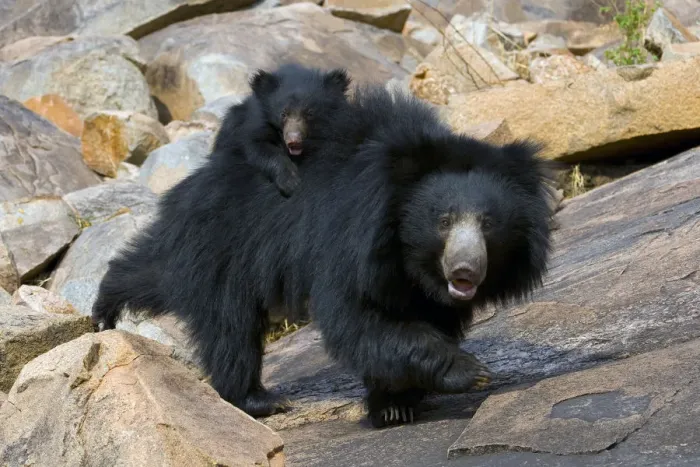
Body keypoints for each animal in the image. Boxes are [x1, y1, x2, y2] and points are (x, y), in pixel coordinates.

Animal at [91, 81, 555, 426]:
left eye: (489, 224)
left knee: (159, 276)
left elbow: (417, 317)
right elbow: (358, 319)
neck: (407, 255)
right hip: (224, 245)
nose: (465, 270)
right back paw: (257, 399)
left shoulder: (413, 281)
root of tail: (191, 185)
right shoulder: (348, 242)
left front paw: (395, 403)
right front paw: (470, 372)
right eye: (443, 220)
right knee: (229, 325)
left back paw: (105, 309)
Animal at [213, 63, 352, 197]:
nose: (294, 140)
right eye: (283, 114)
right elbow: (259, 146)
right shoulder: (256, 121)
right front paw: (290, 183)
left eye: (309, 114)